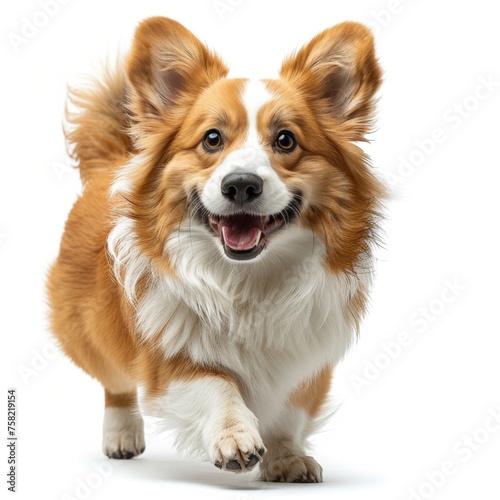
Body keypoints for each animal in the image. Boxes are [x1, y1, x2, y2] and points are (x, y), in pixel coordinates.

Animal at [47, 17, 382, 482]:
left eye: (286, 140)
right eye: (211, 139)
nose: (241, 185)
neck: (249, 280)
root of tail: (112, 161)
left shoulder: (307, 360)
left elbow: (290, 414)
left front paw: (287, 458)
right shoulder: (167, 355)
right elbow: (216, 385)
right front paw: (235, 437)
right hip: (90, 331)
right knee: (115, 381)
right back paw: (121, 434)